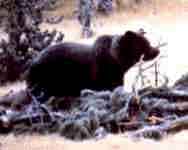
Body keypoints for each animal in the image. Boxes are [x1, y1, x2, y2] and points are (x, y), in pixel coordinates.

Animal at [25, 30, 159, 98]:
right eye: (145, 44)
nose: (157, 50)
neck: (118, 61)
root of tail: (32, 64)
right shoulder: (105, 75)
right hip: (48, 73)